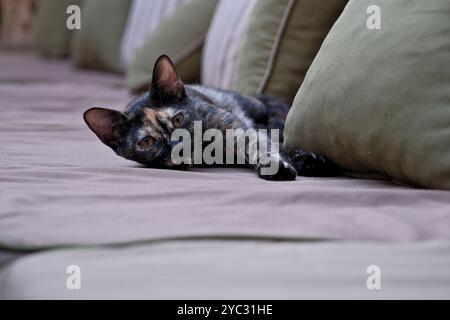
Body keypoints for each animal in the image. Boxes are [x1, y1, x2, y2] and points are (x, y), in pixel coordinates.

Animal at [83, 55, 338, 180]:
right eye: (147, 142)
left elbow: (258, 145)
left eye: (178, 119)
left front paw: (275, 166)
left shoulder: (235, 127)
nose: (178, 144)